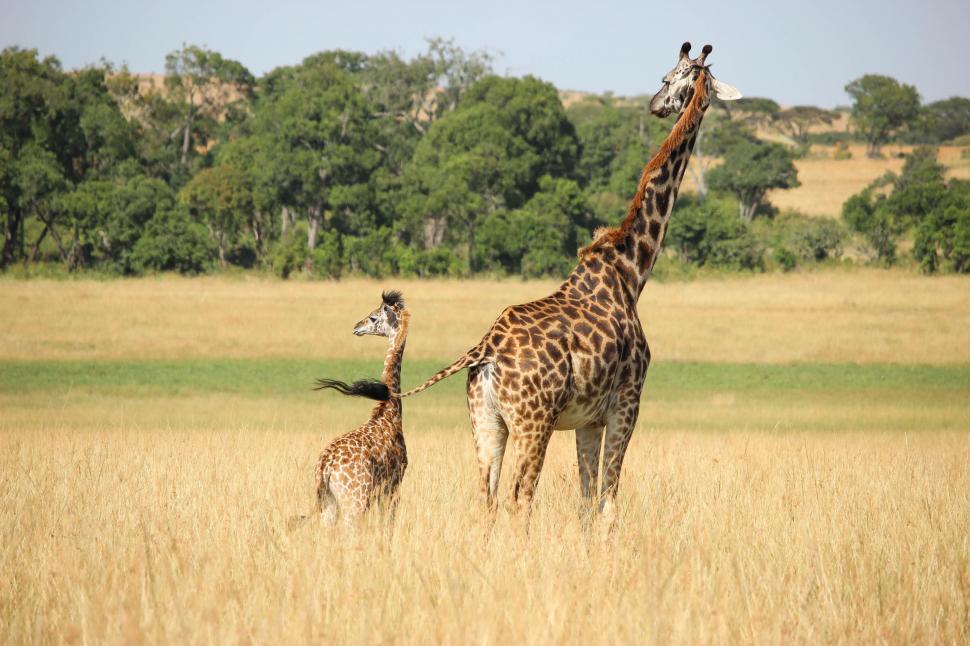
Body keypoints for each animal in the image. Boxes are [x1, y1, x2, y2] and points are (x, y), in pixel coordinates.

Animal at [311, 290, 410, 526]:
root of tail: (325, 466)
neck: (389, 412)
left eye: (373, 318)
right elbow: (387, 525)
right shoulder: (394, 484)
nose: (357, 327)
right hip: (355, 501)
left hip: (329, 503)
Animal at [400, 43, 741, 526]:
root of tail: (484, 350)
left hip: (486, 421)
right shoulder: (627, 402)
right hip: (534, 421)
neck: (631, 271)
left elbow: (586, 501)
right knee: (520, 497)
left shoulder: (588, 419)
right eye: (669, 76)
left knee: (487, 498)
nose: (656, 104)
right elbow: (608, 501)